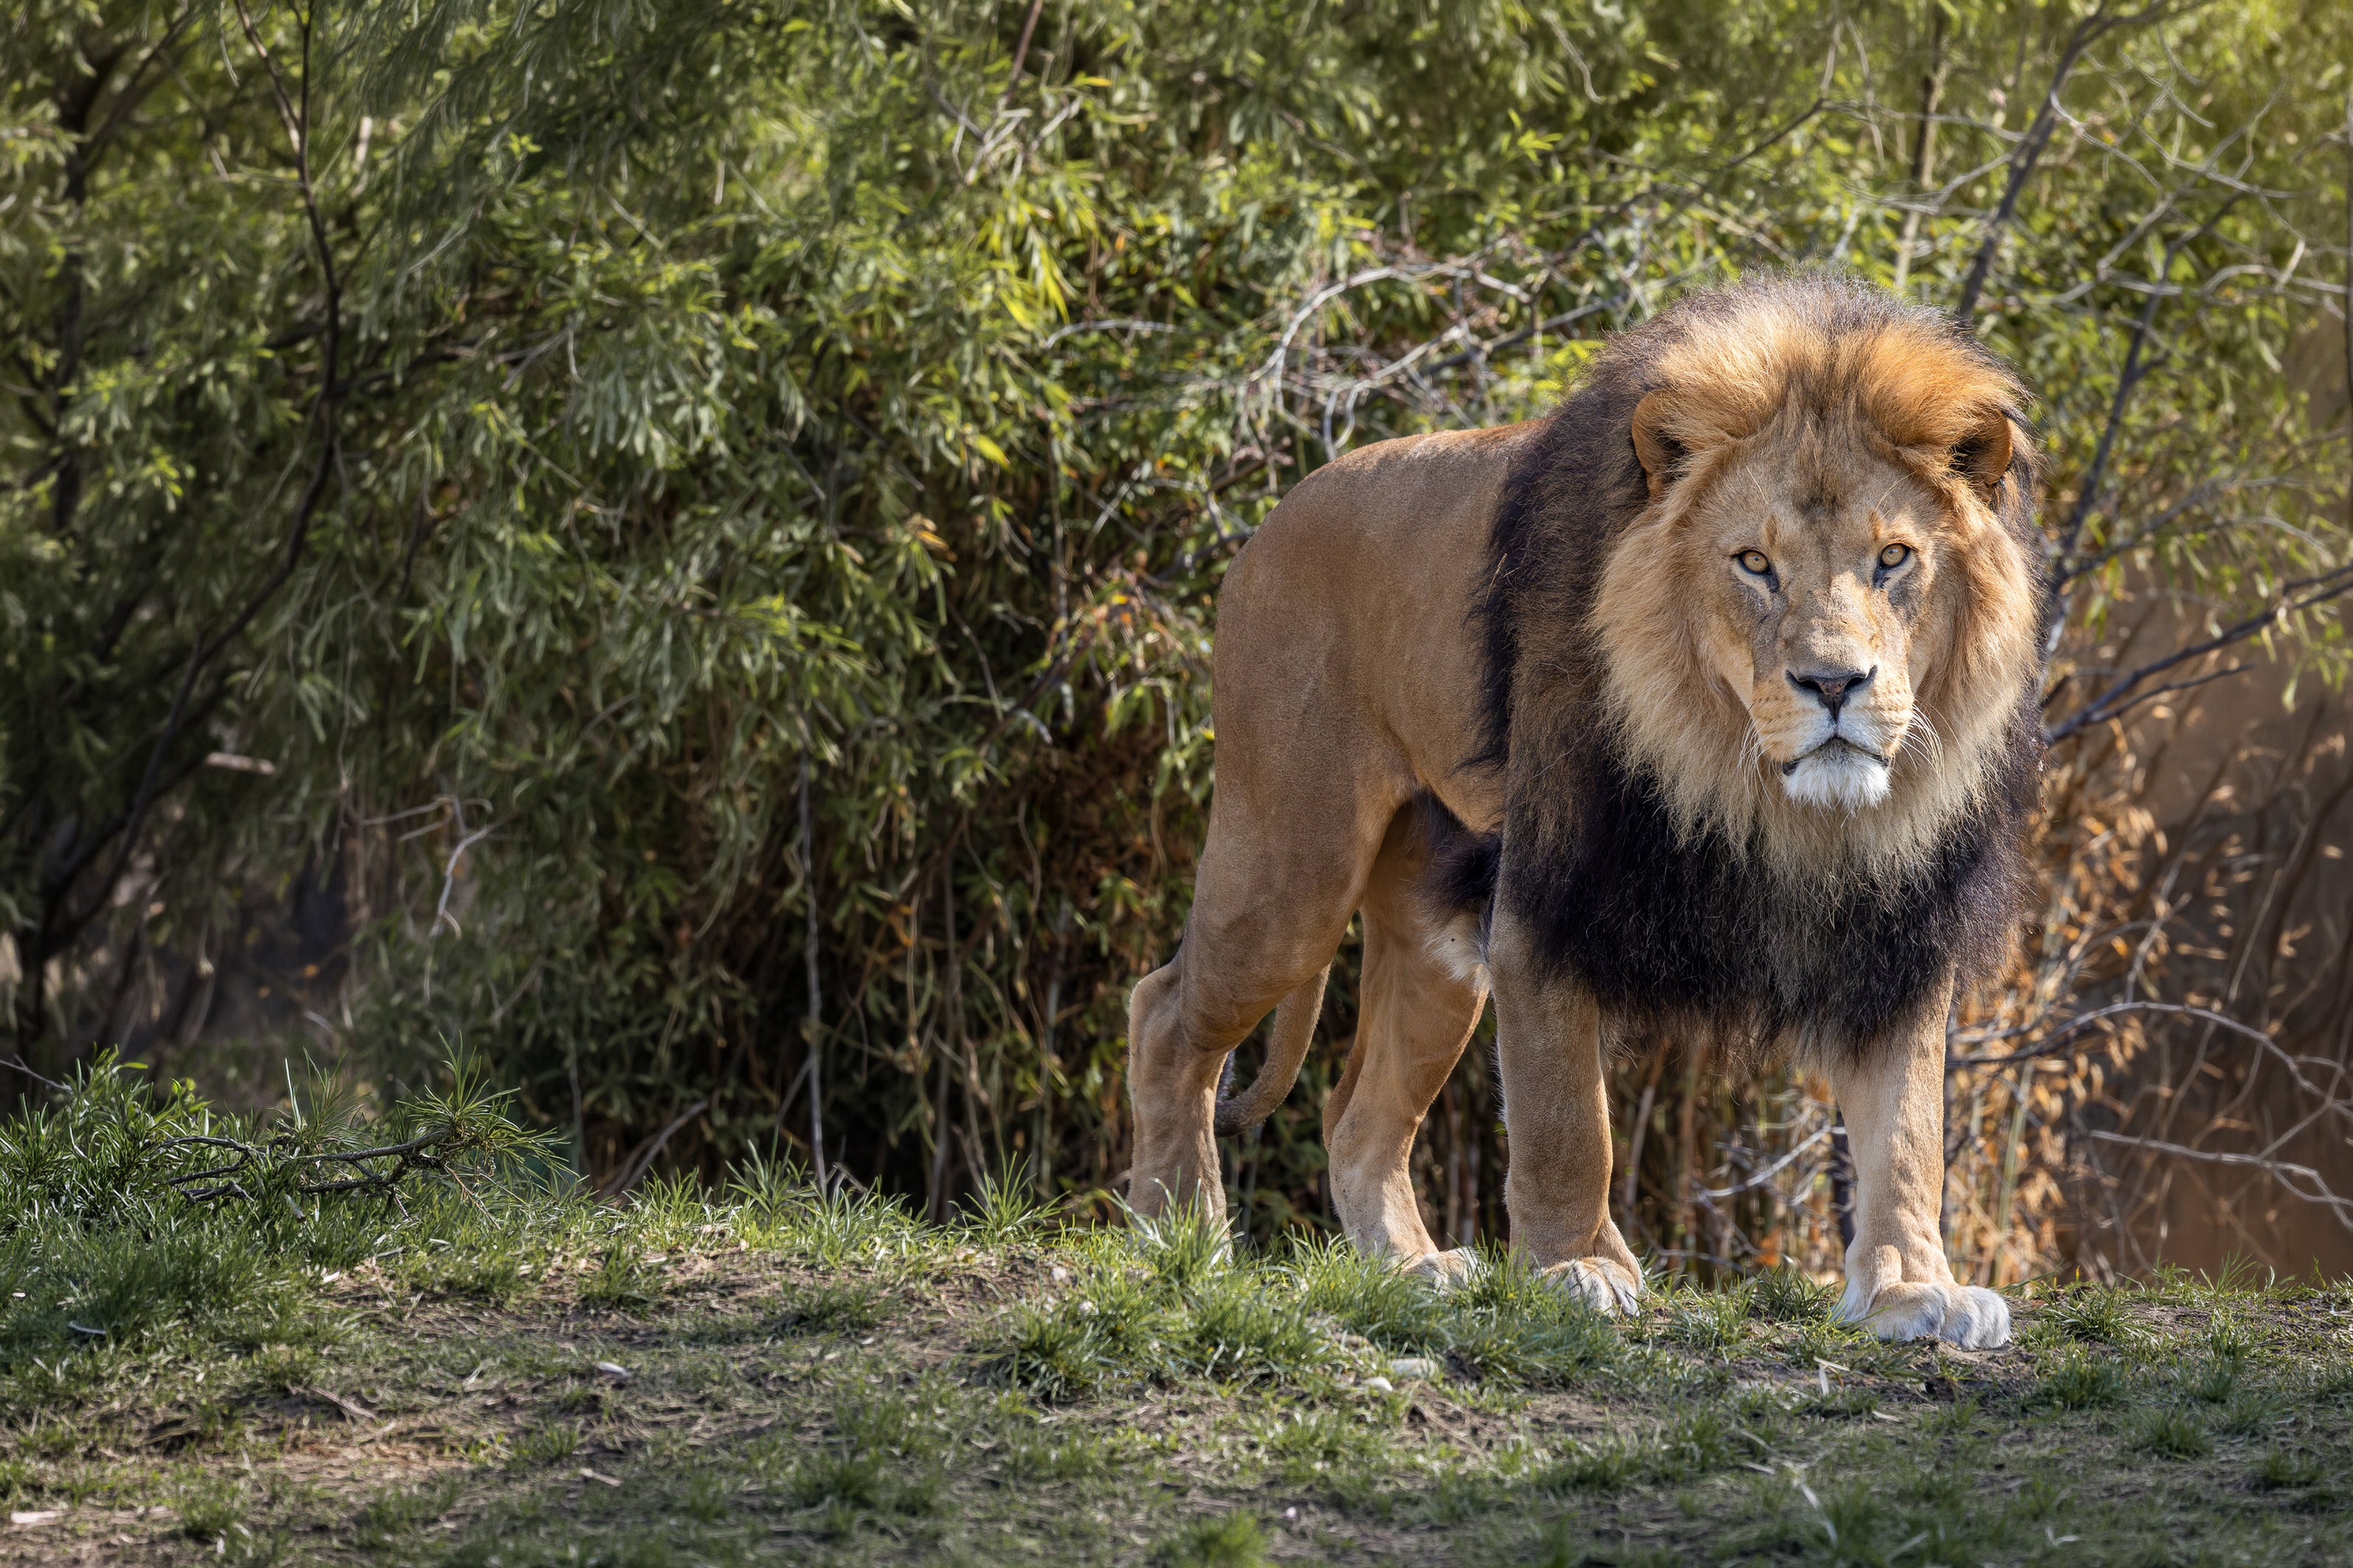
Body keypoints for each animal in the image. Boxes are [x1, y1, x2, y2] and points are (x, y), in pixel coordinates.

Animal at [1125, 275, 2043, 1348]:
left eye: (1893, 558)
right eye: (1753, 564)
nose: (1832, 683)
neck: (1762, 795)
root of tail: (1284, 506)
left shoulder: (1897, 926)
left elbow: (1905, 1133)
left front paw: (1910, 1288)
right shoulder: (1547, 899)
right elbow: (1569, 1117)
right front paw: (1577, 1267)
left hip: (1435, 947)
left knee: (1356, 1115)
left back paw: (1410, 1270)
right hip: (1290, 869)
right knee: (1164, 1013)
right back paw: (1182, 1236)